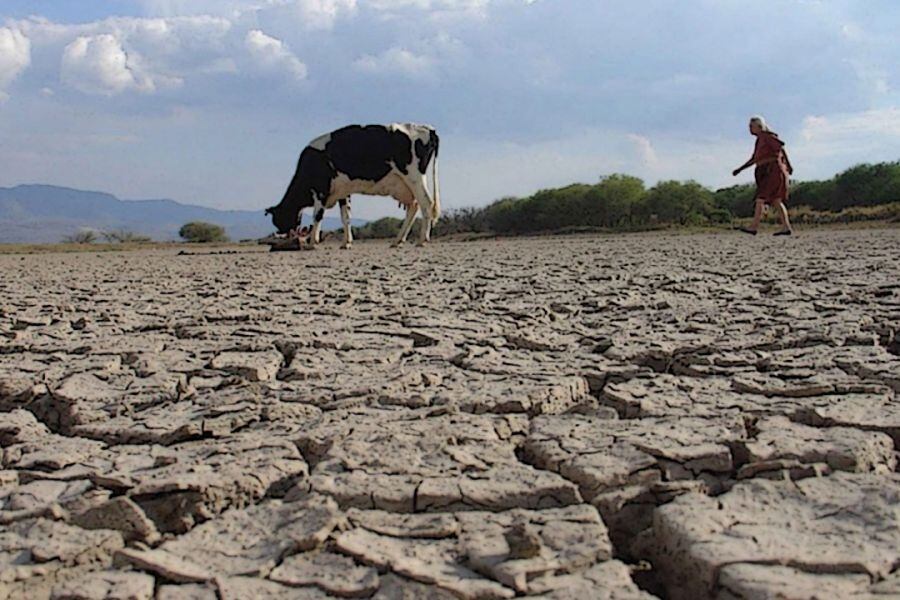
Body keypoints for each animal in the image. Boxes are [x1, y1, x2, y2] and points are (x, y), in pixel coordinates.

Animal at [264, 123, 440, 247]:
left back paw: (422, 240)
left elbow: (317, 215)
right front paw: (346, 243)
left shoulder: (321, 190)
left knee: (426, 203)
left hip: (415, 177)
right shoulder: (343, 192)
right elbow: (346, 216)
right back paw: (398, 241)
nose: (281, 234)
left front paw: (313, 241)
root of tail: (428, 128)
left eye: (278, 219)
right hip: (406, 185)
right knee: (413, 206)